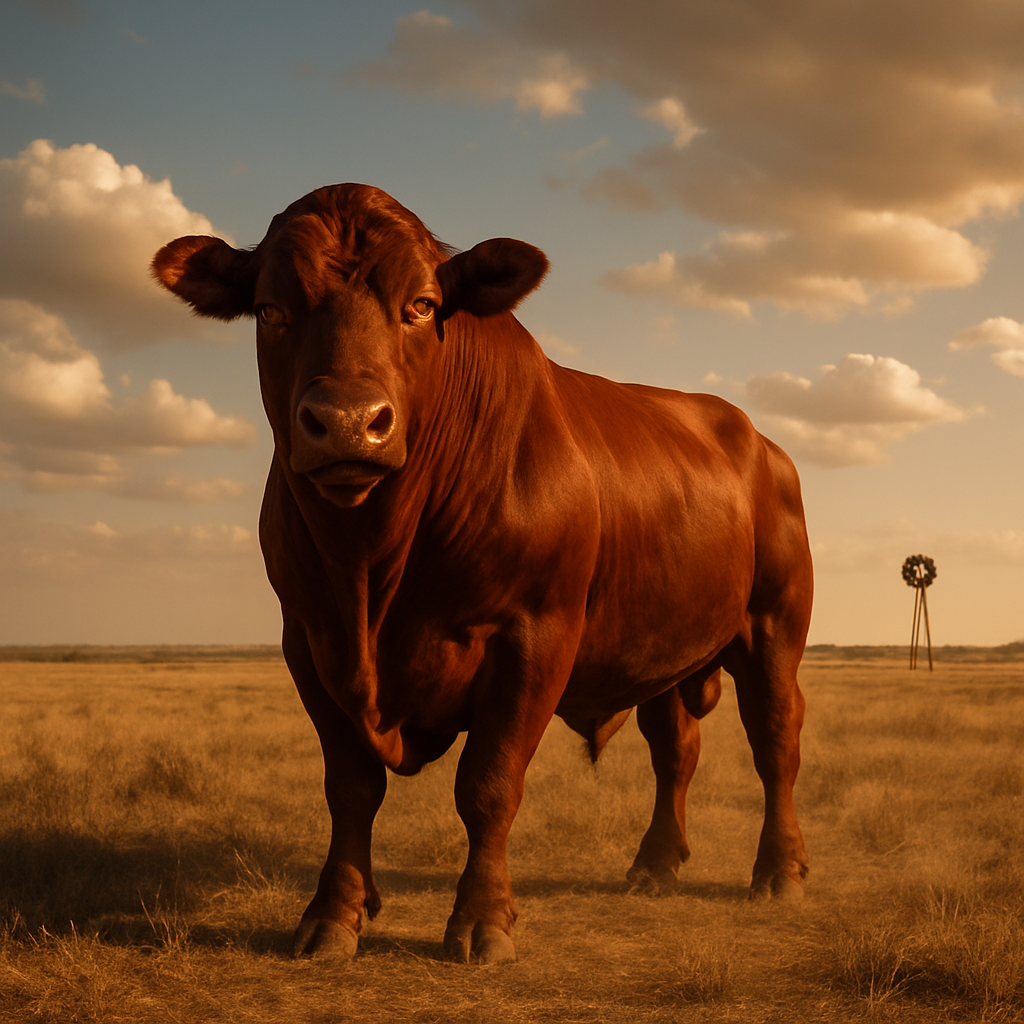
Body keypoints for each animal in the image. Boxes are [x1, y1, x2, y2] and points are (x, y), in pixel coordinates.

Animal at [152, 183, 812, 964]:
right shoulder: (310, 641)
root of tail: (757, 437)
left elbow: (489, 785)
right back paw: (655, 865)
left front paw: (482, 920)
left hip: (774, 626)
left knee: (775, 739)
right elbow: (350, 787)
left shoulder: (533, 635)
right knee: (674, 747)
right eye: (270, 309)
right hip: (664, 648)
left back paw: (779, 871)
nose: (347, 421)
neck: (372, 571)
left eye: (422, 304)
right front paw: (335, 914)